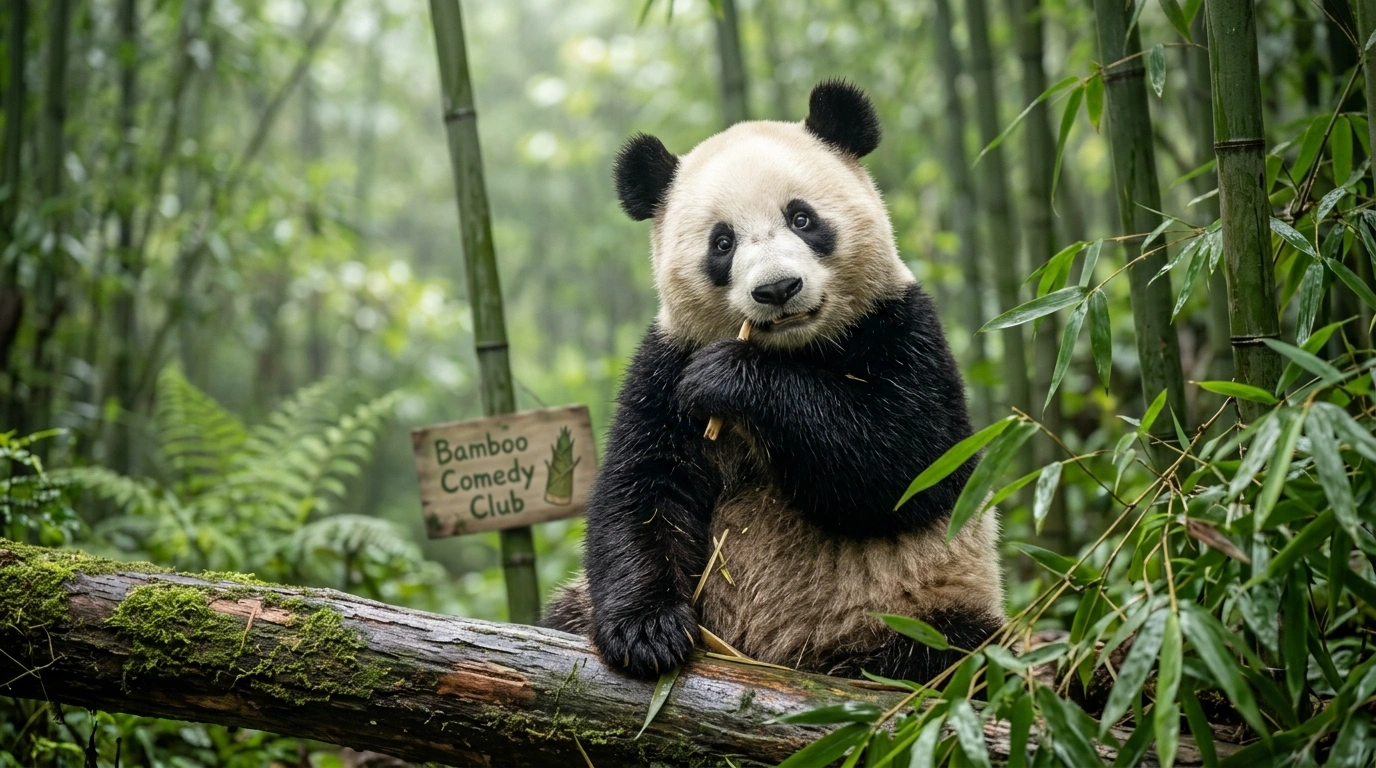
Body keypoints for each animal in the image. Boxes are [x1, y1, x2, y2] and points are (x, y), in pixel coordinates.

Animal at [542, 80, 1005, 684]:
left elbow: (908, 462)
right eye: (722, 243)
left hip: (921, 606)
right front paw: (646, 634)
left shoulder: (902, 326)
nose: (778, 288)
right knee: (563, 612)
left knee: (954, 656)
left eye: (802, 218)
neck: (792, 348)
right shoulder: (664, 364)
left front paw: (729, 378)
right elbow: (641, 487)